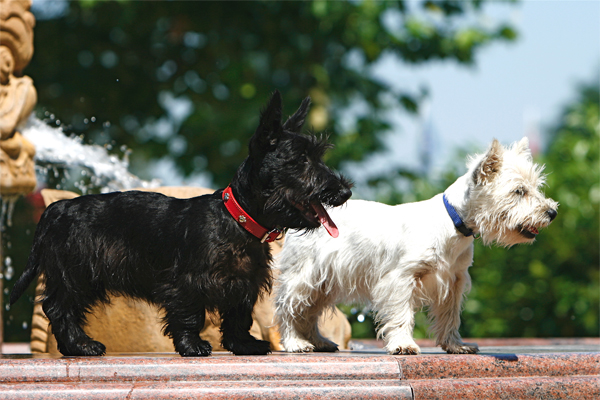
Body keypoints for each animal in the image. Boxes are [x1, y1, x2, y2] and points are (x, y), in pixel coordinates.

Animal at [9, 92, 352, 358]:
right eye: (301, 160)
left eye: (318, 157)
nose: (344, 191)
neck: (236, 220)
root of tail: (58, 207)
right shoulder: (187, 282)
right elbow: (189, 315)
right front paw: (193, 346)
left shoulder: (243, 283)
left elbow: (238, 316)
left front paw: (243, 345)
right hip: (76, 275)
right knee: (60, 308)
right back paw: (82, 346)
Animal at [276, 139, 556, 354]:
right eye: (518, 191)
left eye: (536, 188)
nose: (552, 212)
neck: (454, 224)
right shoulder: (401, 277)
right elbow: (402, 313)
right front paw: (403, 345)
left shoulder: (454, 280)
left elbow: (451, 315)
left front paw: (456, 346)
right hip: (304, 275)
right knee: (290, 308)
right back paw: (295, 343)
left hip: (324, 281)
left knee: (310, 312)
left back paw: (319, 342)